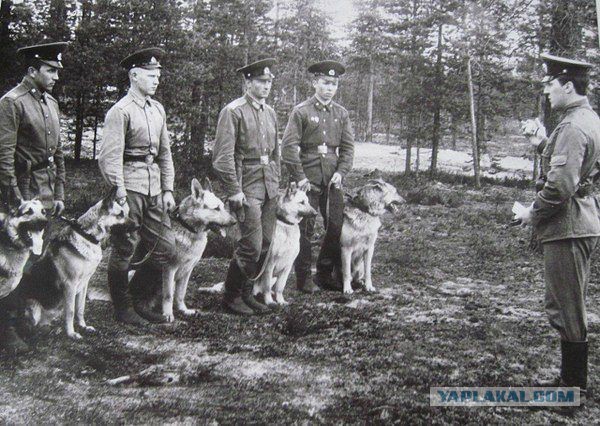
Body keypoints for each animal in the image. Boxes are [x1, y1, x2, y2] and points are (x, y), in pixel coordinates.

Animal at [16, 189, 136, 340]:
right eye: (120, 214)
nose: (138, 226)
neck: (87, 235)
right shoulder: (70, 285)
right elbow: (71, 311)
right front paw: (71, 333)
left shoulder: (84, 284)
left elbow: (80, 308)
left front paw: (83, 326)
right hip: (33, 305)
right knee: (27, 328)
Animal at [132, 177, 236, 322]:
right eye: (216, 208)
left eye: (222, 206)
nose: (234, 222)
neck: (188, 228)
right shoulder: (169, 269)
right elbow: (168, 296)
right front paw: (168, 314)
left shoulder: (187, 270)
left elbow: (181, 294)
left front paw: (184, 310)